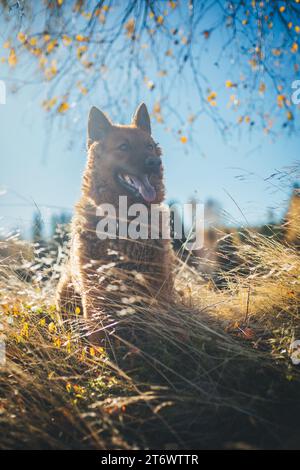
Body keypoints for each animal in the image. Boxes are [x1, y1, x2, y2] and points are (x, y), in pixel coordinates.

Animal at [56, 102, 173, 338]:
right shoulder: (96, 291)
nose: (155, 162)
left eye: (149, 146)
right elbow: (99, 333)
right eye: (124, 147)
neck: (126, 217)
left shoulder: (158, 281)